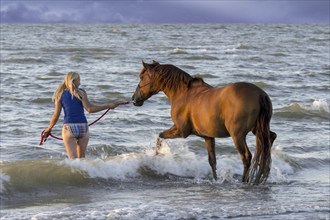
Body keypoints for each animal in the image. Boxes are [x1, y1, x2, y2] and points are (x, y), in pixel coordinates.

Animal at [131, 60, 276, 184]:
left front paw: (156, 156)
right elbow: (212, 161)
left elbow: (159, 137)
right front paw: (215, 180)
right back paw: (260, 177)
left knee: (247, 157)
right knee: (269, 141)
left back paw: (245, 181)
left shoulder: (181, 131)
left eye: (141, 77)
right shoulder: (208, 137)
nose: (134, 99)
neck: (183, 93)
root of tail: (260, 94)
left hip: (238, 135)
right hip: (258, 129)